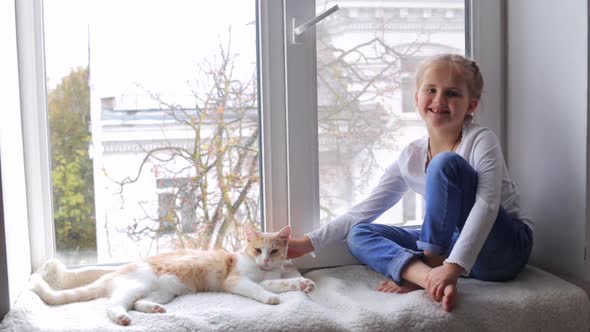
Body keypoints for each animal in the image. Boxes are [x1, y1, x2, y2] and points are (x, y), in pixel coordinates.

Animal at [28, 224, 314, 326]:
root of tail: (117, 272)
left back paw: (154, 309)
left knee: (138, 303)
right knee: (113, 305)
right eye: (257, 249)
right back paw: (121, 317)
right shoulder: (236, 280)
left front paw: (302, 283)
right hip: (136, 284)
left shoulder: (268, 277)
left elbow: (278, 282)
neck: (259, 268)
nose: (265, 259)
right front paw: (269, 298)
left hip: (163, 291)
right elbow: (257, 289)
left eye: (274, 251)